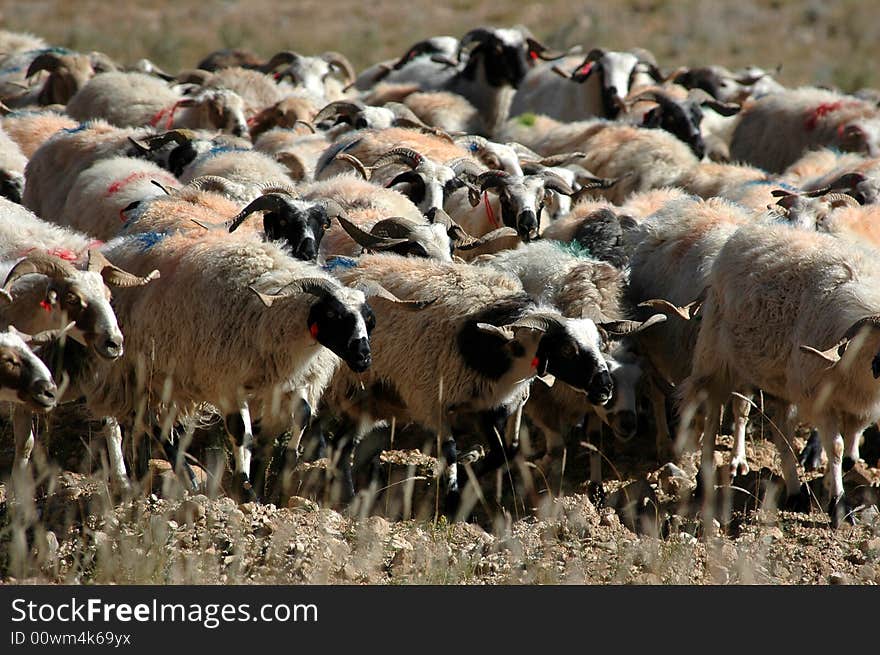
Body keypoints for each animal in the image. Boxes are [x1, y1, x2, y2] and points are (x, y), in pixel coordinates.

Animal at [326, 252, 616, 508]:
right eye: (567, 350)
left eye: (598, 343)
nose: (606, 387)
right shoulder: (433, 401)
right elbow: (451, 450)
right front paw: (452, 498)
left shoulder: (487, 406)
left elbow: (505, 451)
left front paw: (468, 478)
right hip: (351, 387)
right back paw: (348, 495)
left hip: (368, 399)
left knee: (341, 445)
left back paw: (347, 493)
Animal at [680, 220, 880, 528]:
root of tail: (746, 232)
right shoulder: (818, 397)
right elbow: (835, 448)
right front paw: (839, 507)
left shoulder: (861, 407)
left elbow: (849, 452)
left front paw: (828, 489)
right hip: (715, 360)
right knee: (712, 417)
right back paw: (703, 482)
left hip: (776, 376)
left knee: (779, 429)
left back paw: (796, 492)